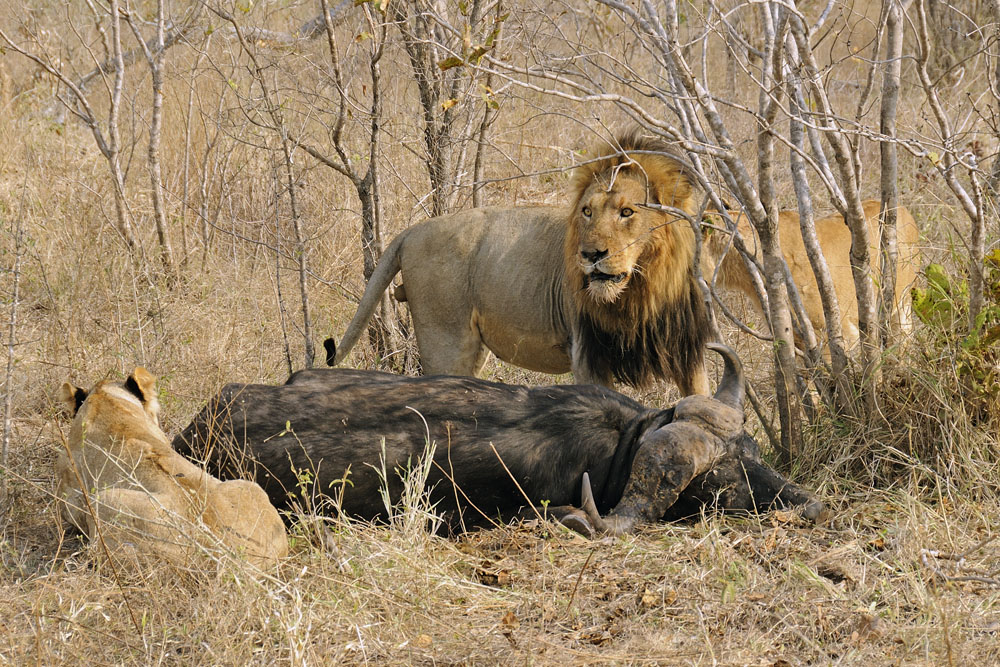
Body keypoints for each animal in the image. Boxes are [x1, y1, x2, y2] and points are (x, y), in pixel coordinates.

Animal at [326, 130, 712, 395]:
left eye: (627, 212)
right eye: (587, 212)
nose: (590, 255)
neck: (644, 290)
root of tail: (412, 230)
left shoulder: (688, 352)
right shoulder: (587, 355)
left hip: (474, 349)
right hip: (444, 342)